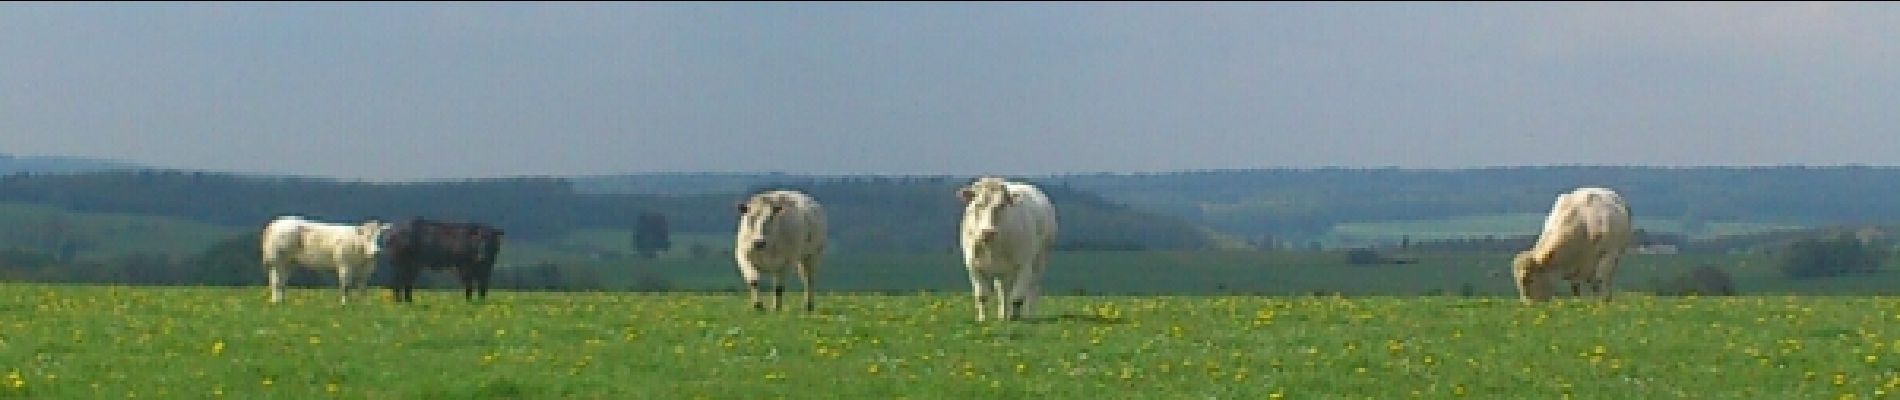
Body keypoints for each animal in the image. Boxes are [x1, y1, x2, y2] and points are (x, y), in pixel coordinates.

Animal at [260, 217, 393, 305]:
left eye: (381, 237)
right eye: (367, 237)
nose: (376, 251)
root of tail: (277, 222)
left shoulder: (367, 269)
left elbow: (363, 287)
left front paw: (364, 304)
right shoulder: (344, 264)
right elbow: (345, 285)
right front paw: (344, 303)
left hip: (289, 262)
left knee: (282, 281)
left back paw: (282, 300)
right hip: (277, 260)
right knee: (275, 281)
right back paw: (275, 301)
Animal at [957, 176, 1064, 320]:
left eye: (1001, 205)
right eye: (978, 205)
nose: (988, 232)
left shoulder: (1024, 265)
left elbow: (1017, 297)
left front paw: (1015, 318)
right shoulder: (973, 265)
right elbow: (982, 296)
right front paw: (983, 318)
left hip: (1040, 260)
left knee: (1032, 288)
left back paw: (1027, 314)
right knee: (1003, 290)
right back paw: (1002, 315)